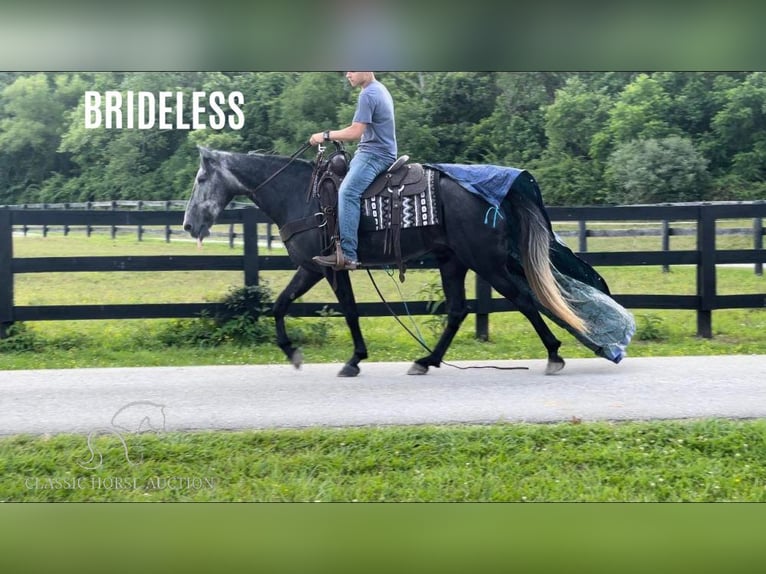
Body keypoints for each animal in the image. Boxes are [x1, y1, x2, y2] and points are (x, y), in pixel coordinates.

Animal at [184, 146, 588, 378]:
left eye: (201, 177)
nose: (189, 224)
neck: (300, 195)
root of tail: (497, 197)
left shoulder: (330, 267)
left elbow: (348, 311)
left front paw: (354, 360)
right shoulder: (311, 268)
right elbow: (280, 305)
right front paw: (292, 353)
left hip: (485, 263)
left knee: (524, 300)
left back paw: (554, 354)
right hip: (453, 262)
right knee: (458, 310)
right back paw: (426, 361)